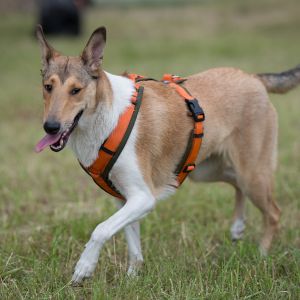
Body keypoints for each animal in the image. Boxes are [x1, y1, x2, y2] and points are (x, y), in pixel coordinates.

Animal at [34, 25, 300, 284]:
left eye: (76, 90)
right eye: (48, 87)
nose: (50, 127)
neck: (107, 117)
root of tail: (254, 78)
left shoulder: (143, 197)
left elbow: (101, 229)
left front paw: (84, 268)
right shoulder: (124, 198)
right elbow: (133, 246)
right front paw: (132, 280)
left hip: (251, 173)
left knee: (273, 212)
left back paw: (262, 255)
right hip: (209, 170)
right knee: (236, 185)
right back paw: (237, 227)